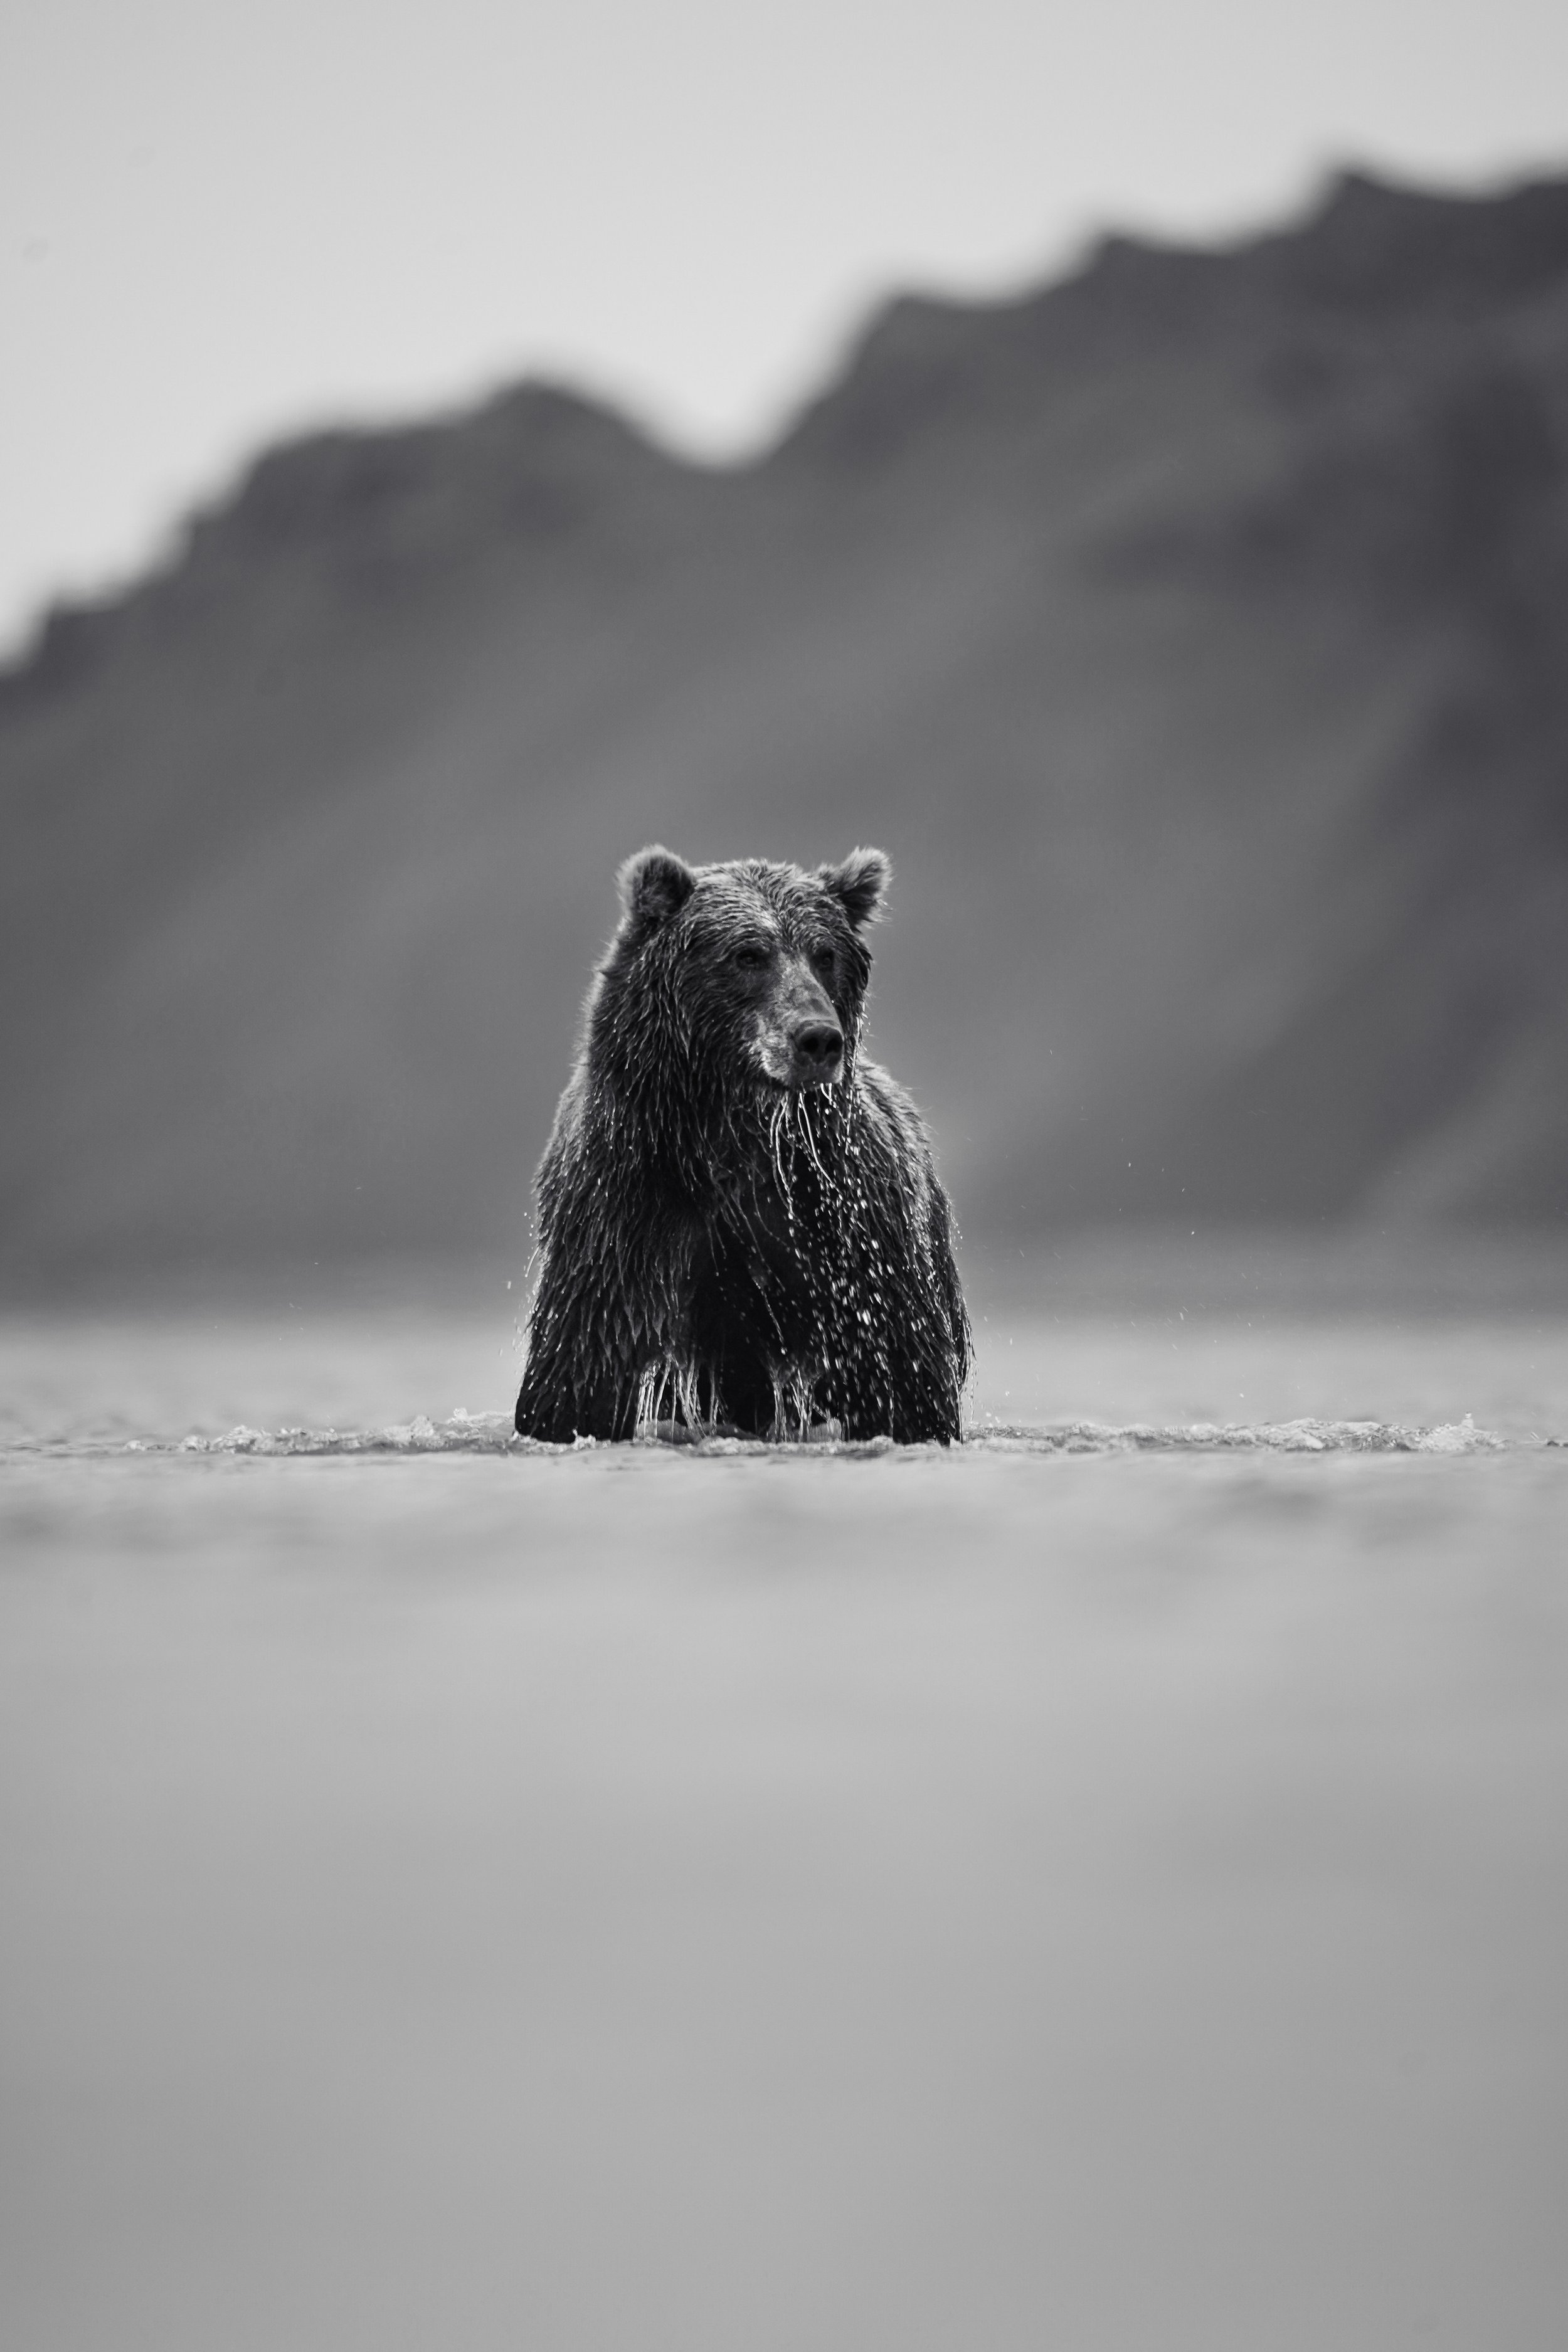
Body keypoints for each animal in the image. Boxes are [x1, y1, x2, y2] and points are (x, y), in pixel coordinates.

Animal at [513, 845, 970, 1444]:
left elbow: (900, 1383)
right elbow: (578, 1379)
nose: (818, 1038)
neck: (731, 1139)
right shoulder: (623, 1220)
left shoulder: (852, 1236)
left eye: (825, 954)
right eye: (749, 954)